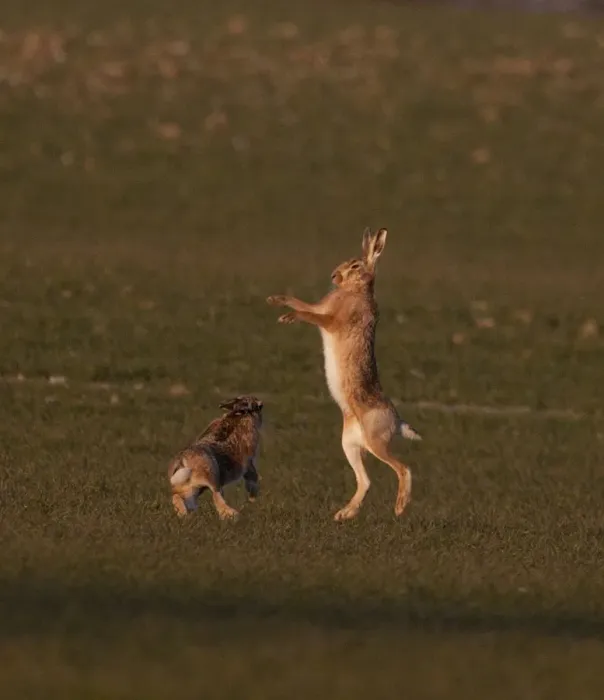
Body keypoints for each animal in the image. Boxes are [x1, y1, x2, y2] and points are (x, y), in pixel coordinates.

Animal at [267, 227, 421, 521]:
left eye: (356, 266)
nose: (333, 276)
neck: (355, 290)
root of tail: (397, 421)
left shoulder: (333, 321)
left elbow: (311, 315)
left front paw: (288, 317)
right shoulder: (321, 307)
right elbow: (303, 304)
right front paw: (276, 301)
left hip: (376, 440)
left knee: (403, 468)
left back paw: (398, 508)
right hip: (349, 443)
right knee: (366, 481)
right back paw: (344, 514)